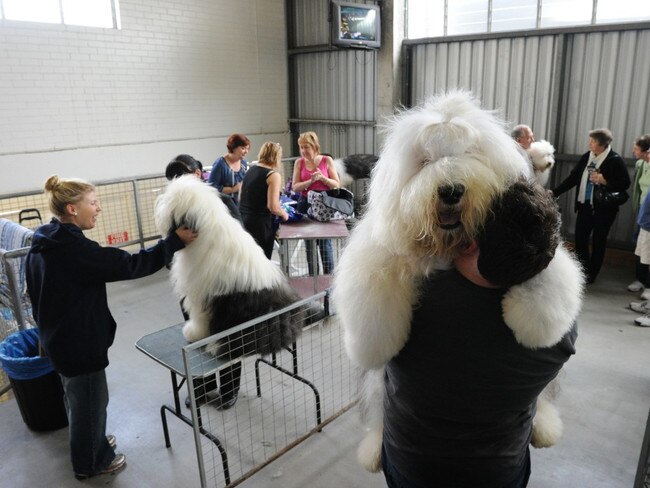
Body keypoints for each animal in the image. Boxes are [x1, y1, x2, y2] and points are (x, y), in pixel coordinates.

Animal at [334, 91, 584, 472]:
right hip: (378, 391)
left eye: (470, 154)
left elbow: (551, 276)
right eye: (424, 161)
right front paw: (376, 341)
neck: (447, 248)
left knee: (542, 396)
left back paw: (544, 427)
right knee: (378, 407)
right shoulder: (381, 250)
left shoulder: (553, 260)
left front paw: (532, 325)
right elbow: (372, 284)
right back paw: (374, 449)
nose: (451, 191)